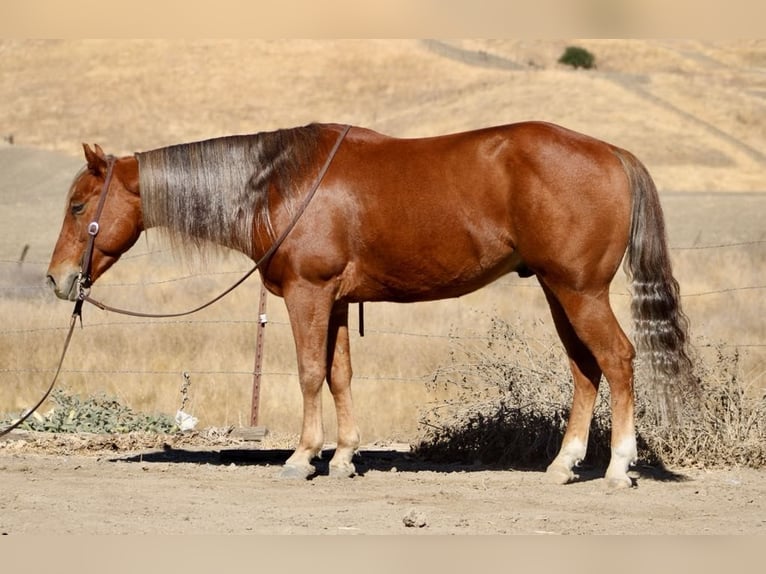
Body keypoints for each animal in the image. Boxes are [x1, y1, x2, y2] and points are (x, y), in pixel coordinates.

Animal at [46, 121, 695, 487]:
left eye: (79, 206)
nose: (57, 280)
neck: (277, 182)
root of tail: (612, 153)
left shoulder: (308, 294)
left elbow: (310, 373)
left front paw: (302, 457)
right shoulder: (334, 301)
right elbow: (339, 375)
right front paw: (342, 458)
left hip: (579, 292)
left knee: (617, 360)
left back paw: (618, 467)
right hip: (559, 292)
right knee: (585, 370)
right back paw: (564, 466)